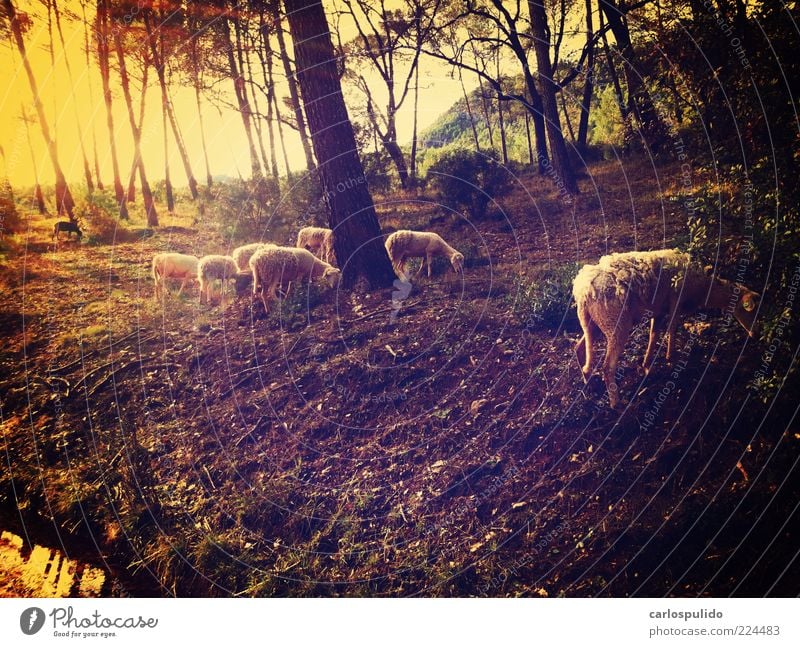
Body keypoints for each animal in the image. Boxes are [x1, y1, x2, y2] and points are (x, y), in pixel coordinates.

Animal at [576, 249, 756, 408]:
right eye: (748, 310)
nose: (755, 334)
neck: (703, 288)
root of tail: (583, 291)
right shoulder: (676, 302)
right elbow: (673, 329)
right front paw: (671, 358)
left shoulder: (659, 311)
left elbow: (653, 335)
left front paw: (647, 366)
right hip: (616, 323)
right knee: (607, 367)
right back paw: (616, 403)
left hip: (593, 323)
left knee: (579, 347)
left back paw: (587, 381)